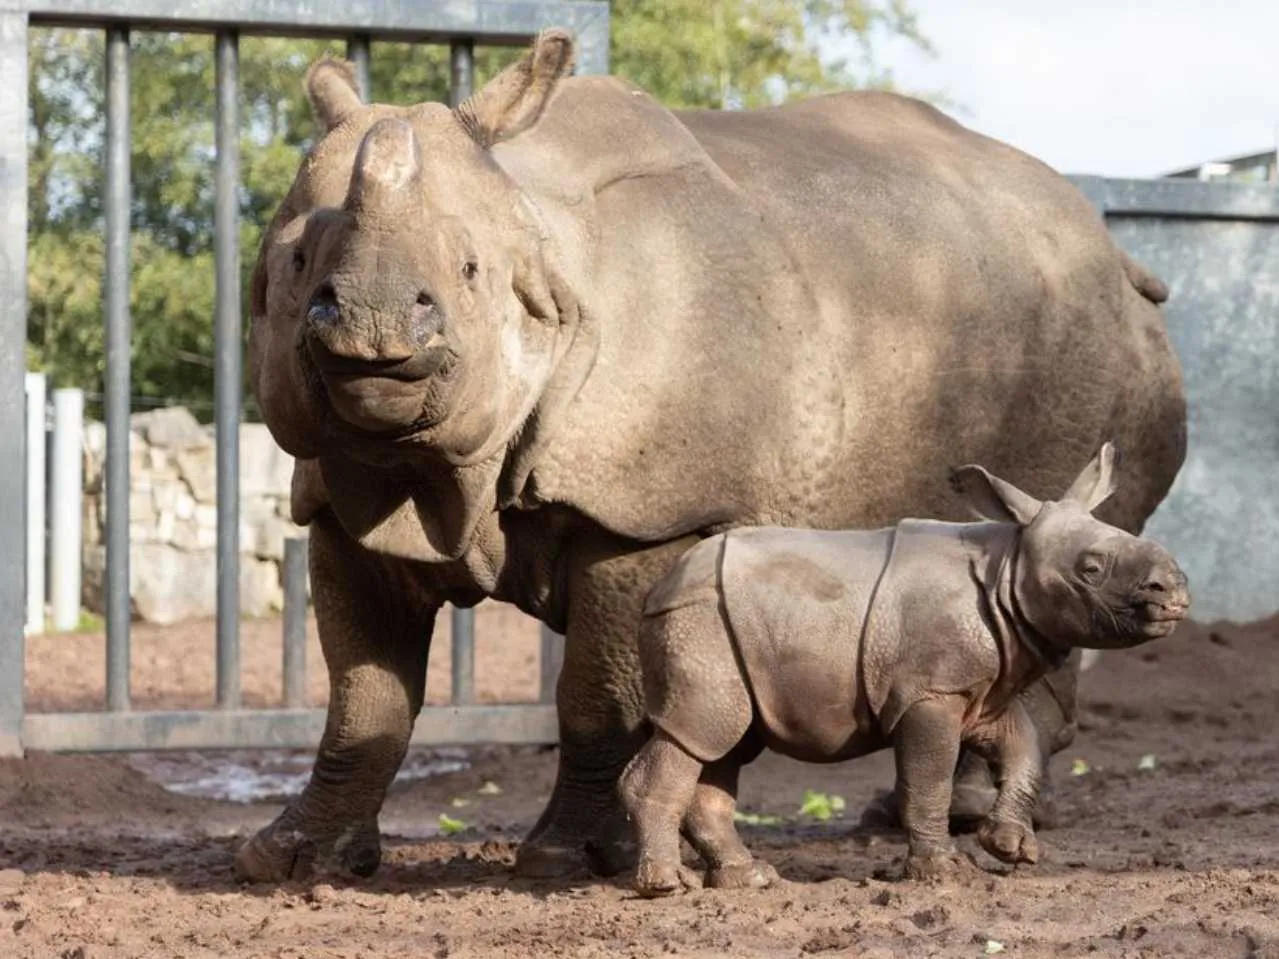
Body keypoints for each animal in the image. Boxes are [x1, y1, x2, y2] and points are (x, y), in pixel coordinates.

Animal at [619, 444, 1186, 900]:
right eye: (1090, 569)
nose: (1175, 588)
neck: (1008, 564)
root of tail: (660, 585)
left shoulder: (979, 691)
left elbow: (1024, 750)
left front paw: (1011, 847)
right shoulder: (931, 692)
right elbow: (929, 778)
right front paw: (945, 873)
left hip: (727, 627)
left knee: (725, 742)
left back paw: (749, 879)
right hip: (701, 619)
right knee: (699, 731)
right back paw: (669, 887)